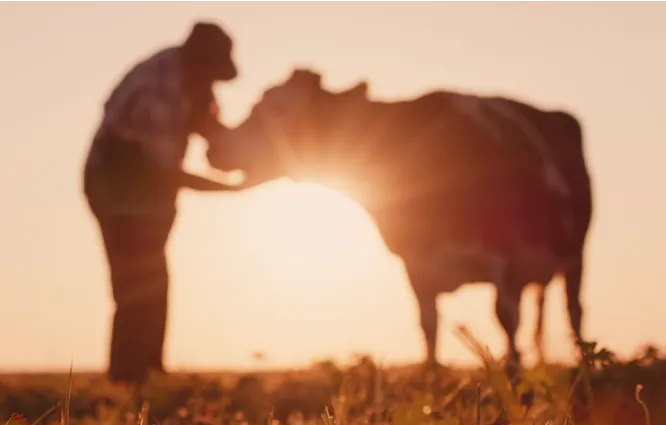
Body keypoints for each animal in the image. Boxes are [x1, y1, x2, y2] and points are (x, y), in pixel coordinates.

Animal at [208, 69, 592, 368]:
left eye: (276, 108)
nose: (216, 146)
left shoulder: (505, 256)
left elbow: (506, 325)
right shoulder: (415, 263)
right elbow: (429, 329)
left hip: (575, 254)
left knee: (575, 313)